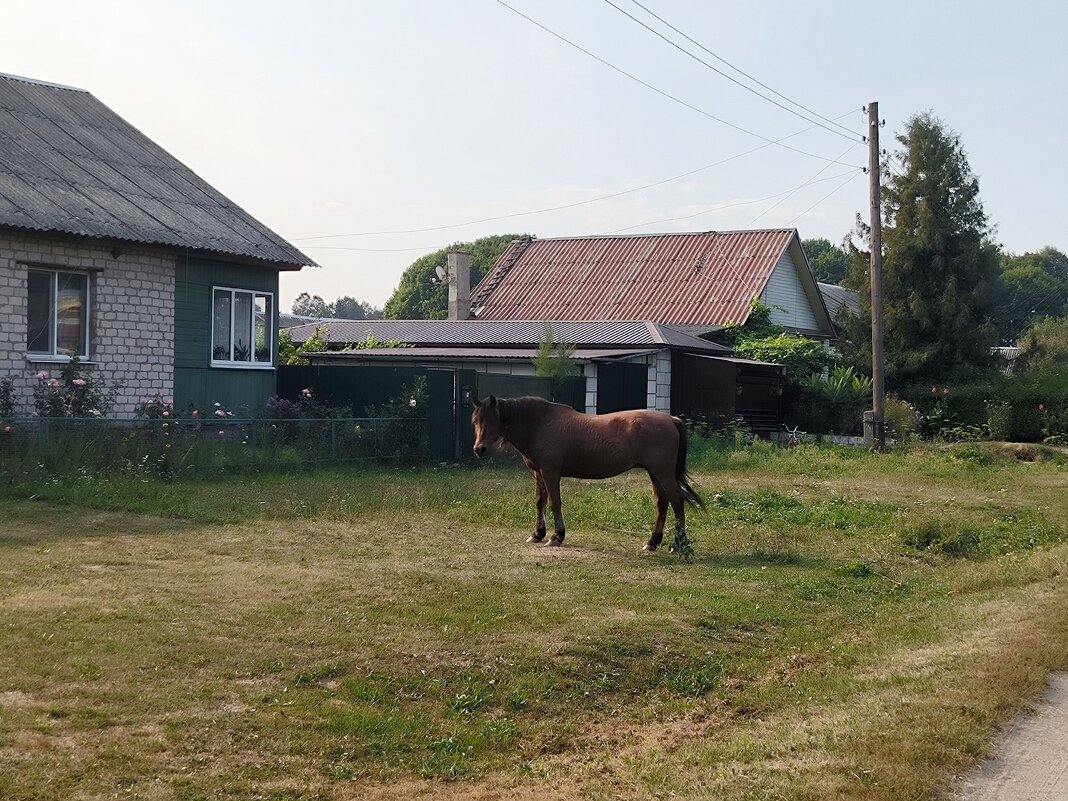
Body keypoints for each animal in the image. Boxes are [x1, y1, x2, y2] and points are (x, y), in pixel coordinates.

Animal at [474, 397, 704, 551]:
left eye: (492, 420)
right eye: (476, 421)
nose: (479, 449)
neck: (540, 424)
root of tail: (671, 419)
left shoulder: (550, 472)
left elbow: (555, 502)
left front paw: (556, 536)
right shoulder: (539, 472)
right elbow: (540, 501)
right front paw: (537, 534)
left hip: (663, 473)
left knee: (677, 501)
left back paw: (680, 544)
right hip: (655, 473)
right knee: (662, 502)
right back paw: (653, 542)